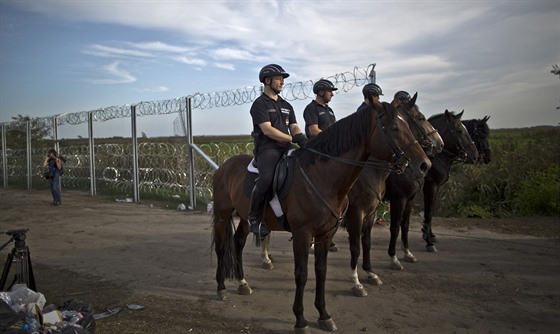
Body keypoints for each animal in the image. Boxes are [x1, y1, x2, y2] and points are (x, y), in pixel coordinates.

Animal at [212, 98, 430, 332]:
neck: (323, 177)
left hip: (245, 217)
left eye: (408, 124)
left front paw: (324, 314)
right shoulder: (305, 233)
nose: (425, 164)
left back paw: (242, 283)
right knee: (222, 248)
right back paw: (221, 288)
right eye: (396, 128)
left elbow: (322, 271)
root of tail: (224, 165)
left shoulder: (327, 233)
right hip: (222, 215)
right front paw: (300, 319)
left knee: (238, 243)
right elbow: (302, 274)